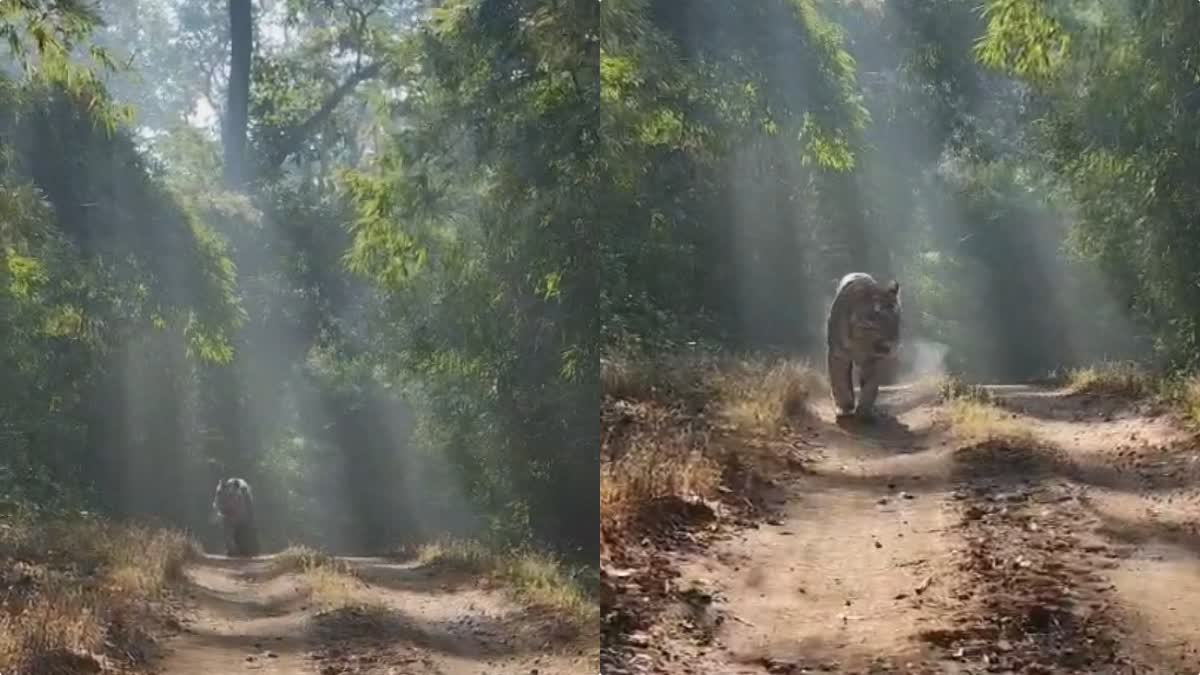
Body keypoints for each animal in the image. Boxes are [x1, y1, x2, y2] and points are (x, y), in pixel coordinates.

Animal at [825, 270, 902, 417]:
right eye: (877, 324)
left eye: (896, 323)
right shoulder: (838, 355)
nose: (891, 346)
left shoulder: (870, 360)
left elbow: (870, 384)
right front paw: (845, 405)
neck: (860, 345)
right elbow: (840, 380)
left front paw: (864, 409)